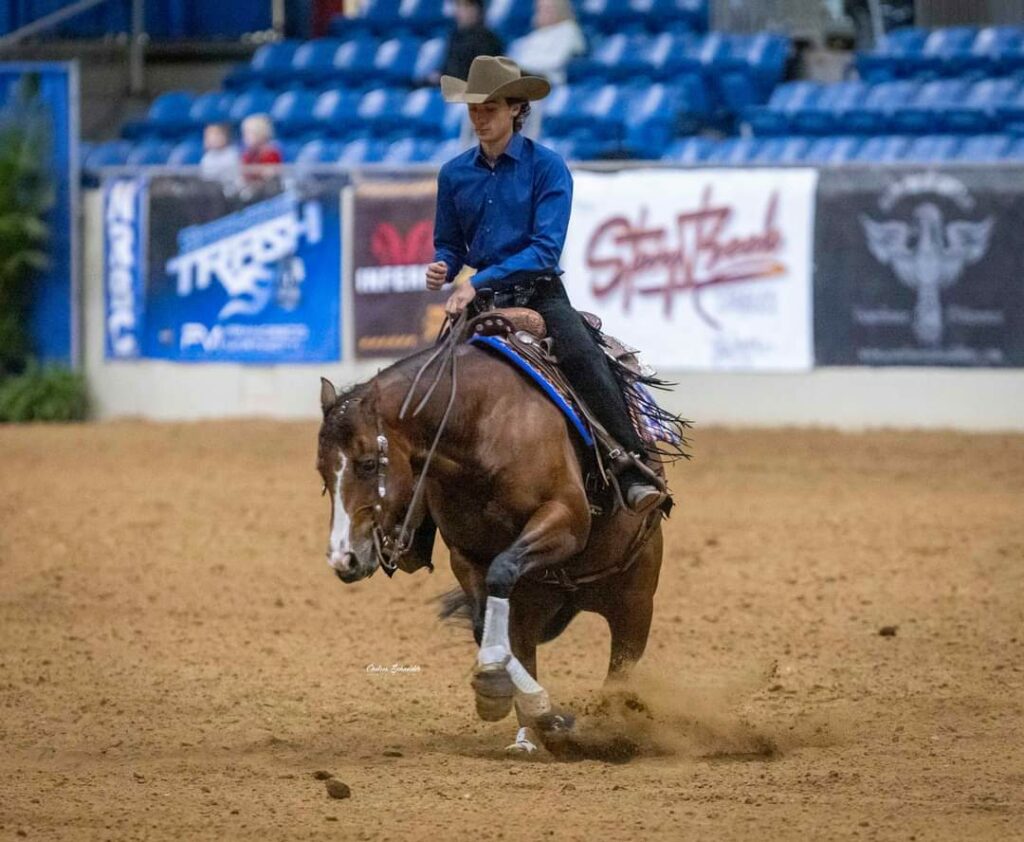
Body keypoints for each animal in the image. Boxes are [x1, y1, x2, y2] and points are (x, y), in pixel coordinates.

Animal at [316, 337, 673, 756]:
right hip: (538, 607)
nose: (344, 558)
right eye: (322, 473)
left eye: (369, 463)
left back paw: (611, 729)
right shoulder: (466, 556)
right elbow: (485, 620)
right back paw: (531, 735)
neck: (480, 428)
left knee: (620, 671)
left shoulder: (567, 517)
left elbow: (503, 569)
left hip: (633, 603)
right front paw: (514, 698)